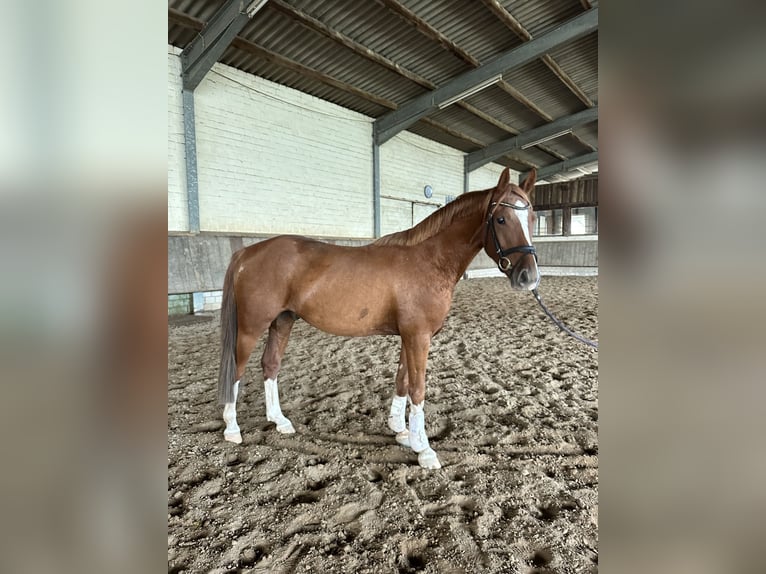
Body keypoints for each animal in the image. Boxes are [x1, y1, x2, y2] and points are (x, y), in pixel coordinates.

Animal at [217, 167, 539, 469]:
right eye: (501, 219)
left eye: (533, 218)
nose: (529, 277)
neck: (428, 260)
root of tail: (247, 252)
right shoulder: (418, 336)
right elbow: (417, 388)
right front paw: (425, 450)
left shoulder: (409, 336)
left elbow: (402, 380)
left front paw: (403, 432)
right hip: (251, 327)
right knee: (237, 369)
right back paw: (232, 429)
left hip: (282, 321)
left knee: (270, 365)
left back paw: (280, 421)